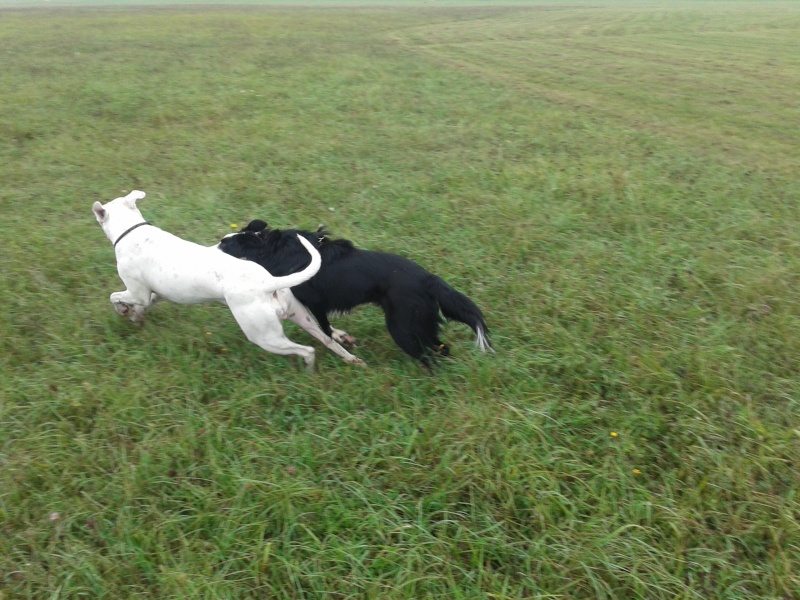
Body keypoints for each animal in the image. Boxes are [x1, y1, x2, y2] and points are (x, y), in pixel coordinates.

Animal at [94, 191, 366, 370]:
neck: (133, 231)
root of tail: (267, 283)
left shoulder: (137, 291)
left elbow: (115, 296)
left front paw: (122, 310)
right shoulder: (153, 295)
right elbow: (142, 307)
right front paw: (135, 318)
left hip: (264, 335)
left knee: (307, 350)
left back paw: (309, 369)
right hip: (301, 317)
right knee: (327, 339)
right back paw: (352, 359)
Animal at [219, 218, 494, 364]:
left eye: (224, 244)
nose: (216, 242)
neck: (270, 247)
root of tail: (429, 279)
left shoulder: (315, 302)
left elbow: (325, 329)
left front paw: (339, 341)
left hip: (403, 328)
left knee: (430, 358)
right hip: (421, 326)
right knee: (442, 349)